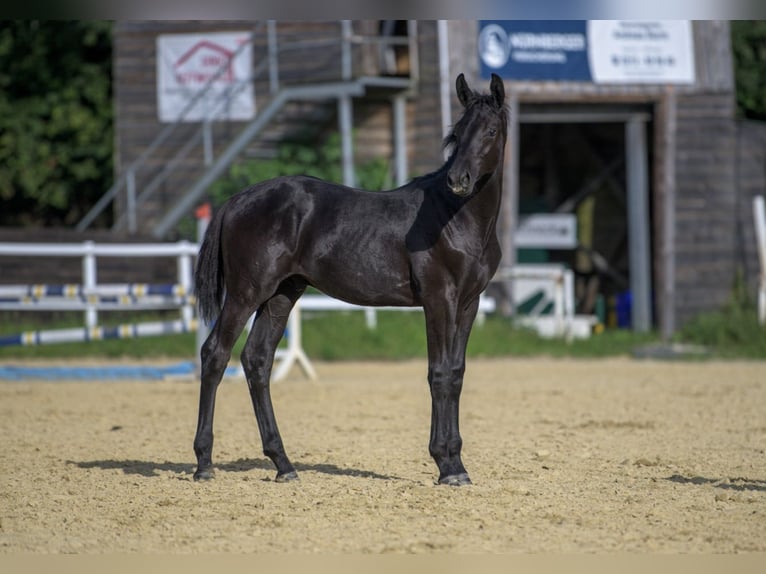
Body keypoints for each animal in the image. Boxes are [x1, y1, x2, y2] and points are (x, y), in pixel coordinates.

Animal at [194, 72, 510, 486]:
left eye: (490, 130)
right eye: (457, 132)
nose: (459, 180)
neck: (455, 217)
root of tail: (236, 200)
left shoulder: (469, 303)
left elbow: (456, 373)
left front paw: (456, 463)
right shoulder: (439, 299)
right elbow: (439, 373)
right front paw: (446, 465)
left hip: (281, 295)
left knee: (257, 360)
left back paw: (284, 465)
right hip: (246, 293)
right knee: (215, 354)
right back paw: (204, 463)